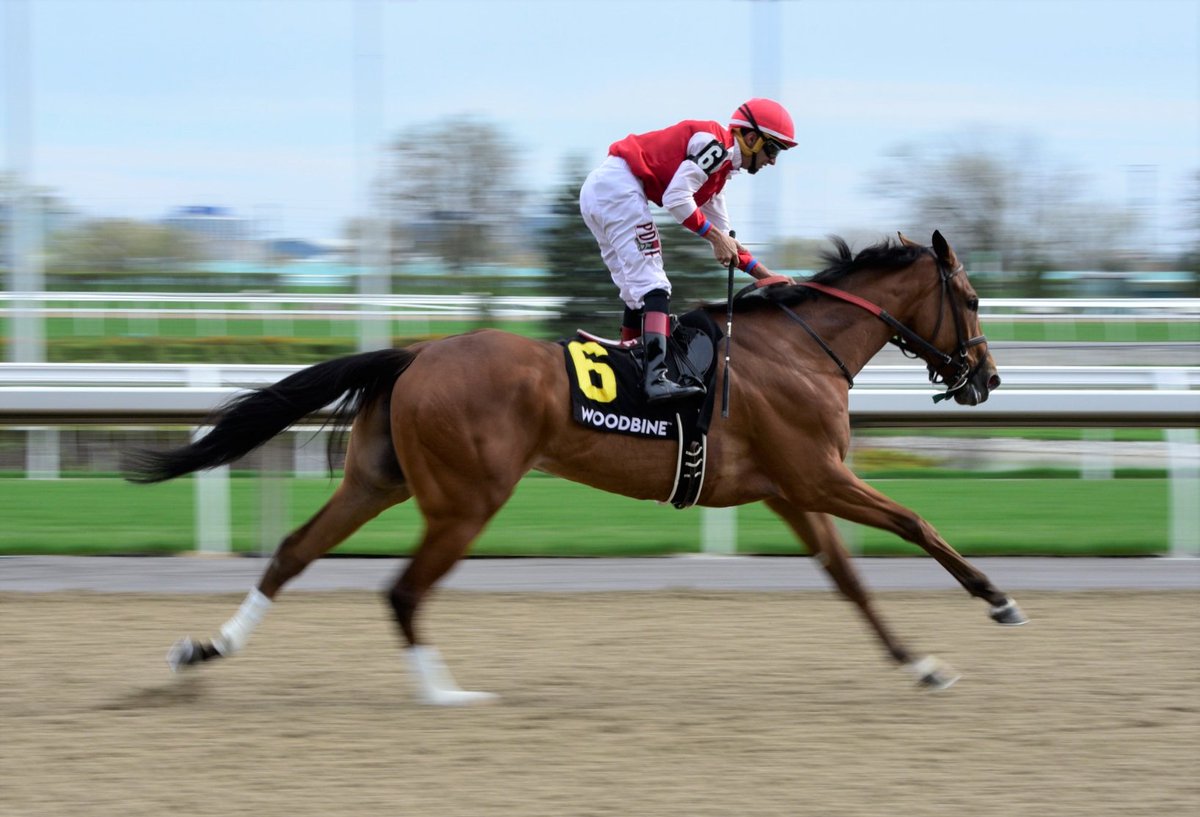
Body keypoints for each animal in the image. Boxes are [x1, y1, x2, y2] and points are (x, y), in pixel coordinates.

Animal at [126, 227, 1027, 700]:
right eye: (973, 298)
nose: (986, 377)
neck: (802, 351)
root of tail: (416, 351)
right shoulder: (819, 476)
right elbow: (915, 521)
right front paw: (998, 599)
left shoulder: (792, 491)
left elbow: (850, 579)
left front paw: (921, 663)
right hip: (466, 499)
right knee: (403, 588)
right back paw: (446, 692)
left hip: (379, 479)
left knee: (293, 552)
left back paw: (206, 649)